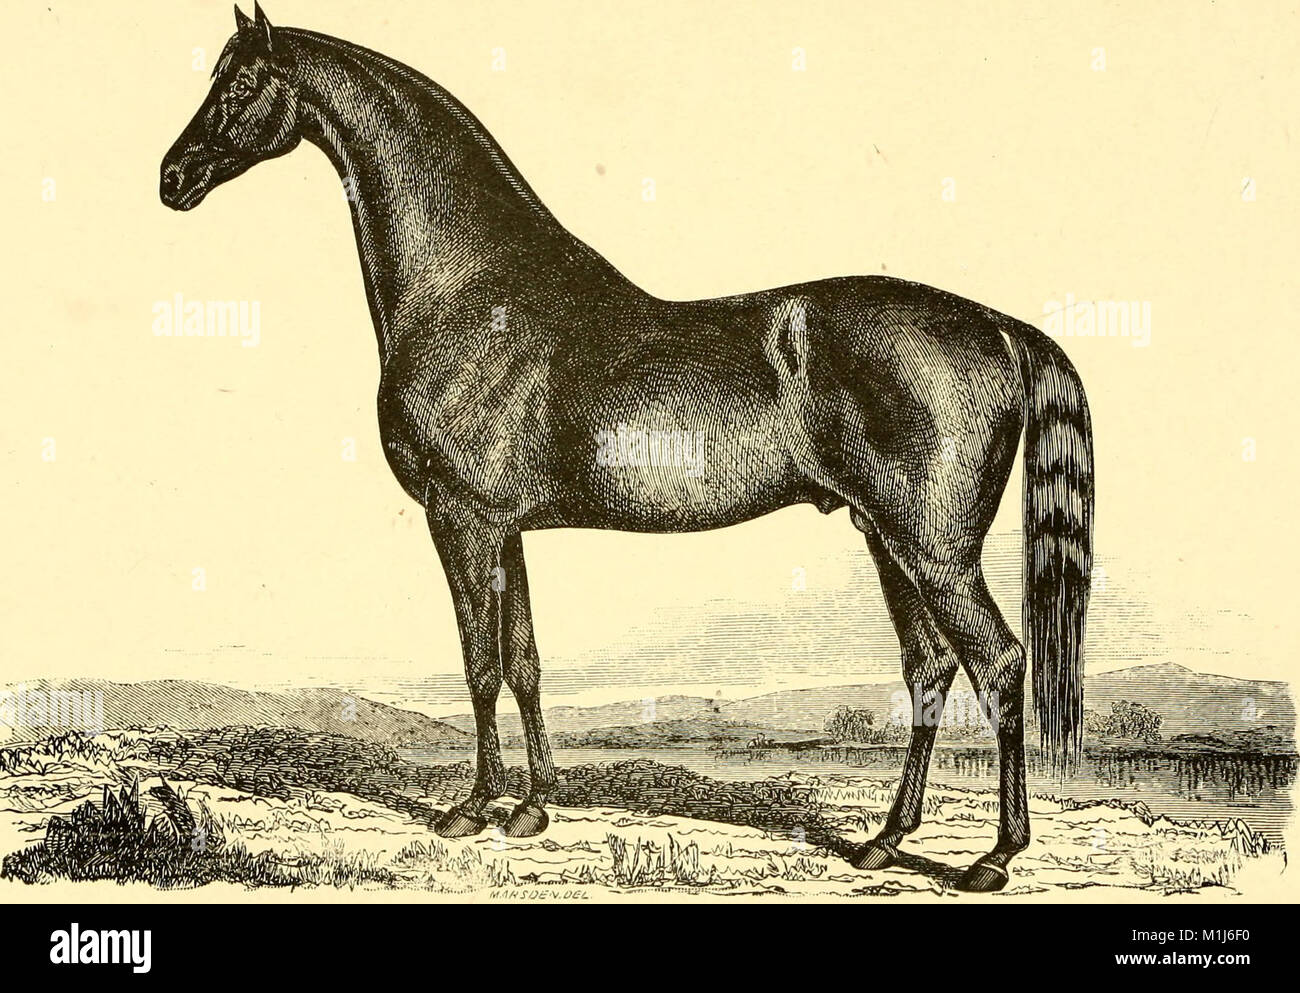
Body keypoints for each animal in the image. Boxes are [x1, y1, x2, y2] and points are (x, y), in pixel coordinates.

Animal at [161, 4, 1094, 892]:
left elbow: (479, 664)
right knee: (929, 668)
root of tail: (1000, 330)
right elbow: (525, 660)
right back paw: (884, 840)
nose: (171, 177)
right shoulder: (507, 529)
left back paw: (995, 857)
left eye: (240, 82)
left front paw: (471, 808)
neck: (472, 290)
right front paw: (532, 805)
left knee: (998, 663)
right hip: (888, 538)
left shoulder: (462, 519)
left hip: (933, 549)